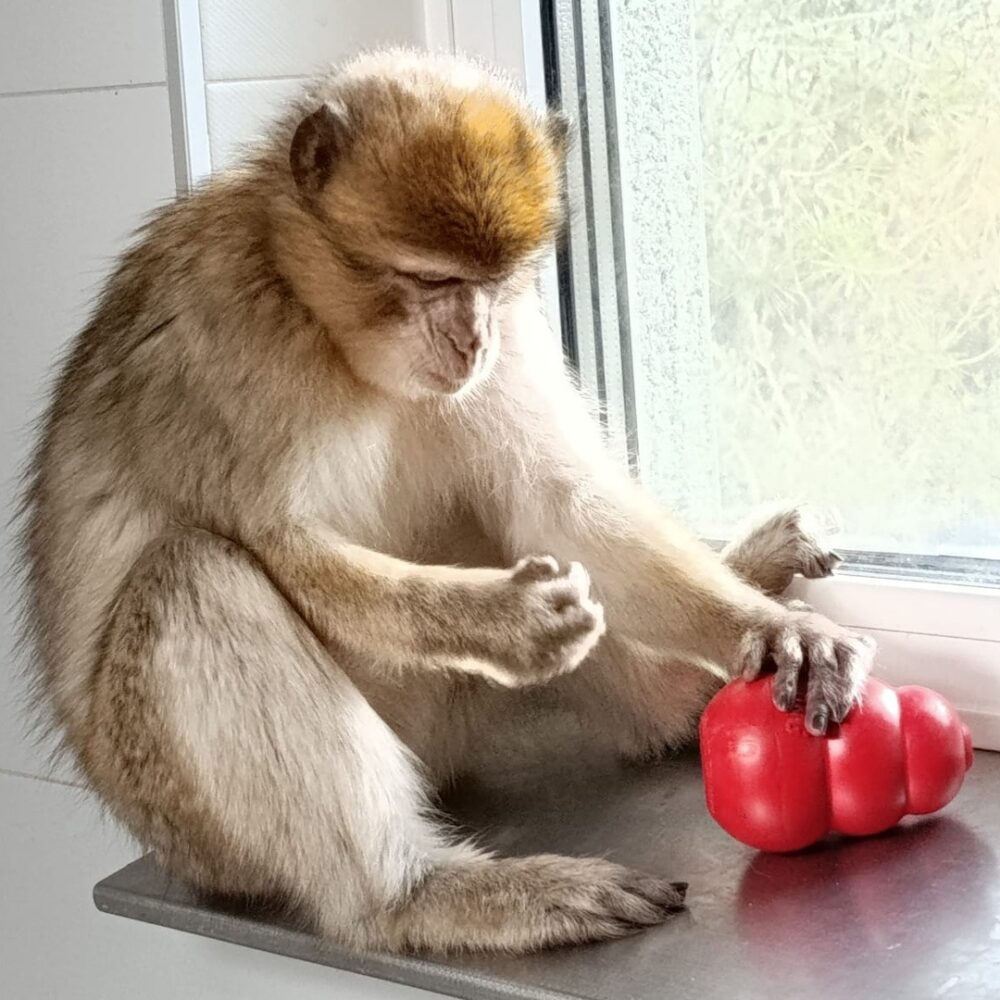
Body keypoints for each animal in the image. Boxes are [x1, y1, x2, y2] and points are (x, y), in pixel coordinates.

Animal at [18, 48, 873, 954]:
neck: (325, 326)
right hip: (186, 817)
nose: (471, 338)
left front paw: (770, 627)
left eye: (492, 285)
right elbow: (284, 548)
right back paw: (414, 896)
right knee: (191, 573)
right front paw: (502, 622)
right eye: (430, 279)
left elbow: (555, 501)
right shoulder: (221, 340)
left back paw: (678, 693)